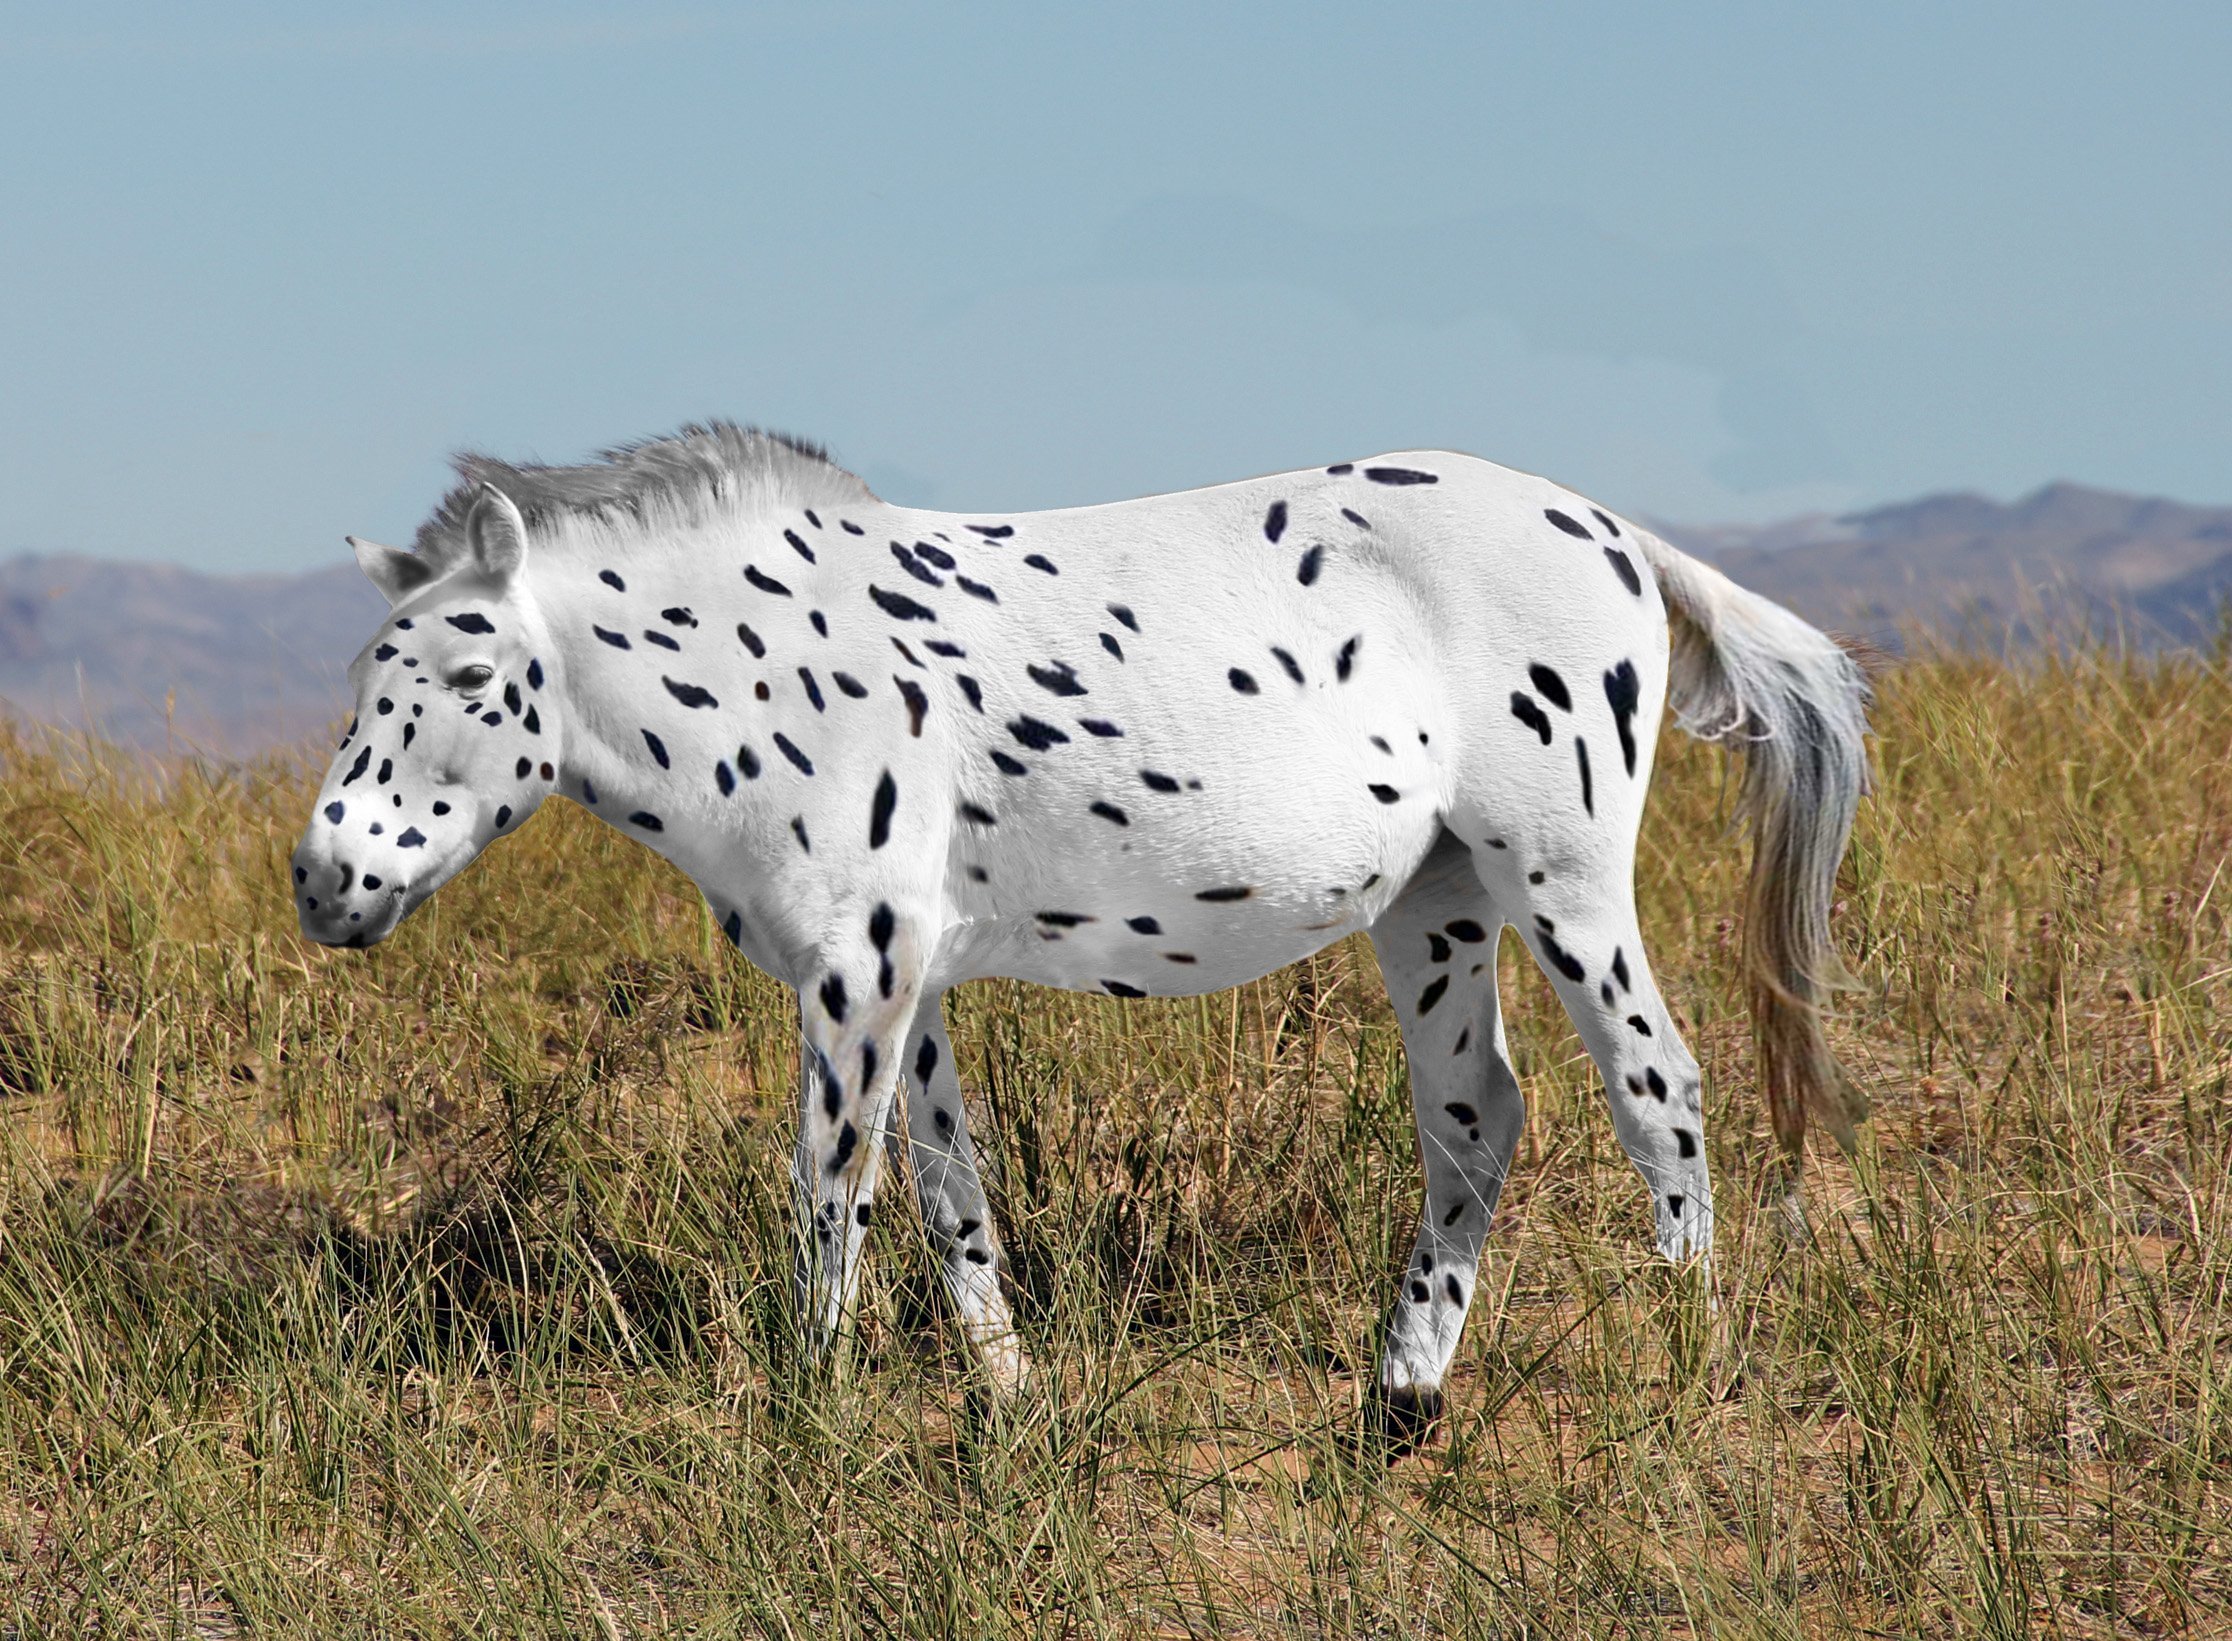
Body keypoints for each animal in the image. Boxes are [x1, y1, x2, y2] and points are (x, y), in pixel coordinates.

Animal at [291, 421, 1870, 1441]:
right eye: (368, 672)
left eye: (471, 674)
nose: (324, 880)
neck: (775, 661)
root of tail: (1615, 534)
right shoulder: (904, 978)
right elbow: (950, 1193)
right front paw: (1011, 1399)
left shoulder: (855, 973)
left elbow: (831, 1189)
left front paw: (809, 1414)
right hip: (1437, 905)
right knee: (1478, 1112)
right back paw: (1404, 1397)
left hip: (1563, 881)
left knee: (1659, 1091)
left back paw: (1693, 1372)